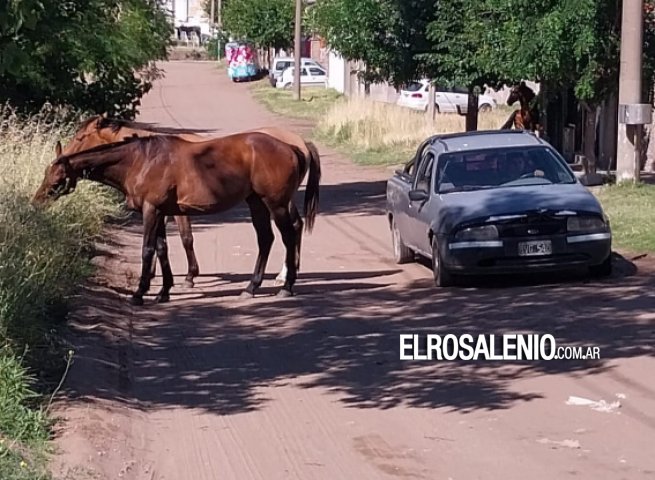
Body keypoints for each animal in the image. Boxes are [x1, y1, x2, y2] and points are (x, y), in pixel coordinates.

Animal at [33, 132, 320, 304]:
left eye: (57, 180)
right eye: (46, 174)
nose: (37, 201)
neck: (140, 160)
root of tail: (292, 147)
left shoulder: (151, 211)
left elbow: (148, 250)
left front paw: (139, 293)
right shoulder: (161, 212)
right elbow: (162, 249)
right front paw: (163, 291)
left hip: (276, 204)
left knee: (288, 235)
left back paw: (287, 285)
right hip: (256, 202)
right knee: (266, 239)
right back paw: (251, 287)